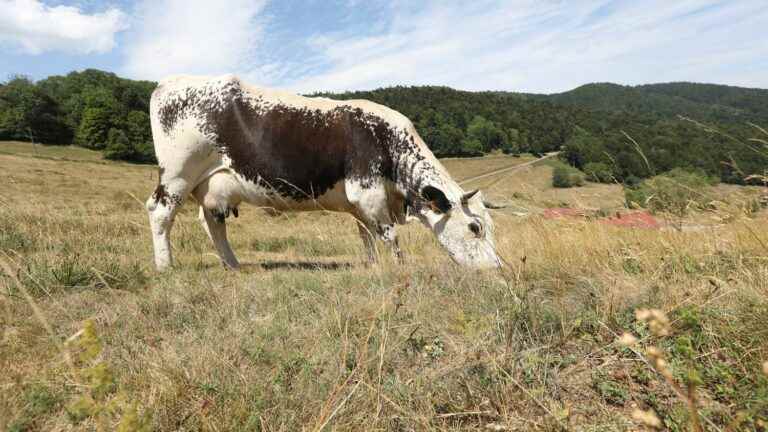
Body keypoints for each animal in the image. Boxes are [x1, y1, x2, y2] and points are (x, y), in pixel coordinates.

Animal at [146, 74, 500, 270]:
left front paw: (373, 266)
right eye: (475, 228)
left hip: (211, 184)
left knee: (212, 222)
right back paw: (166, 266)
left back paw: (232, 264)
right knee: (160, 212)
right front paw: (401, 268)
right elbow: (389, 236)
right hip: (178, 174)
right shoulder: (367, 190)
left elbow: (366, 235)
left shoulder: (360, 203)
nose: (496, 268)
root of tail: (168, 83)